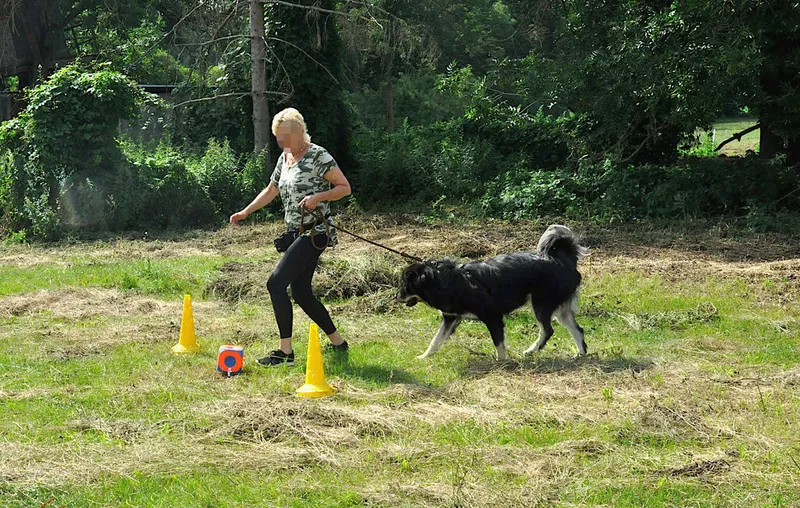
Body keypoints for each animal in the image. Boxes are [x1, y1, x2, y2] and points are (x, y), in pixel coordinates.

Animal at [396, 225, 588, 360]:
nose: (395, 296)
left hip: (541, 304)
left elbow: (499, 343)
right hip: (560, 310)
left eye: (405, 285)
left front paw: (501, 362)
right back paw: (580, 354)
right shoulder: (450, 318)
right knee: (578, 330)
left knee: (548, 331)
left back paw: (532, 350)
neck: (446, 281)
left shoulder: (493, 317)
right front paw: (424, 357)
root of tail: (564, 260)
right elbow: (435, 341)